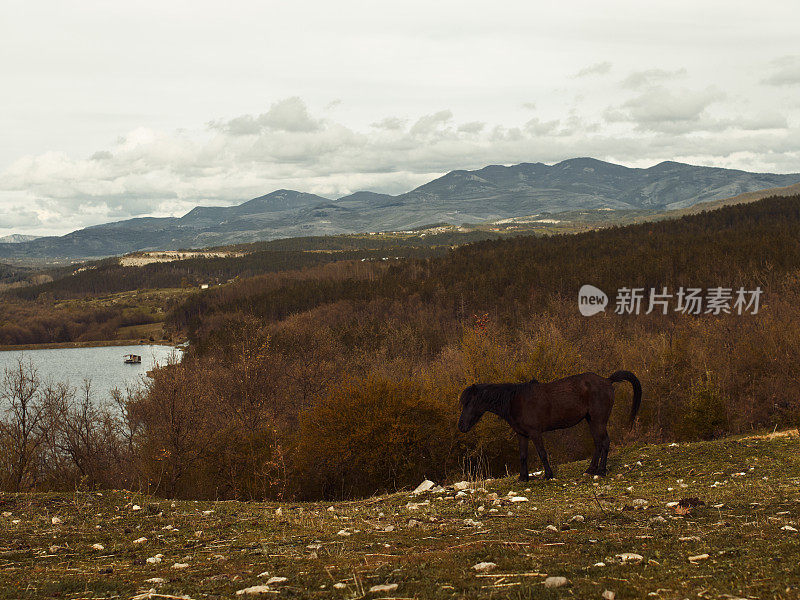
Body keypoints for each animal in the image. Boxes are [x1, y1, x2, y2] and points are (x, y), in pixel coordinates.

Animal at [460, 372, 640, 480]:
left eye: (469, 403)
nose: (461, 426)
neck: (515, 401)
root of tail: (607, 380)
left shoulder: (535, 433)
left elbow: (542, 453)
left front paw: (548, 475)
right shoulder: (522, 434)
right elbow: (523, 455)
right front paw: (523, 478)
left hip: (598, 420)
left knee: (605, 442)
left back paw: (601, 471)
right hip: (591, 420)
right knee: (598, 443)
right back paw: (590, 469)